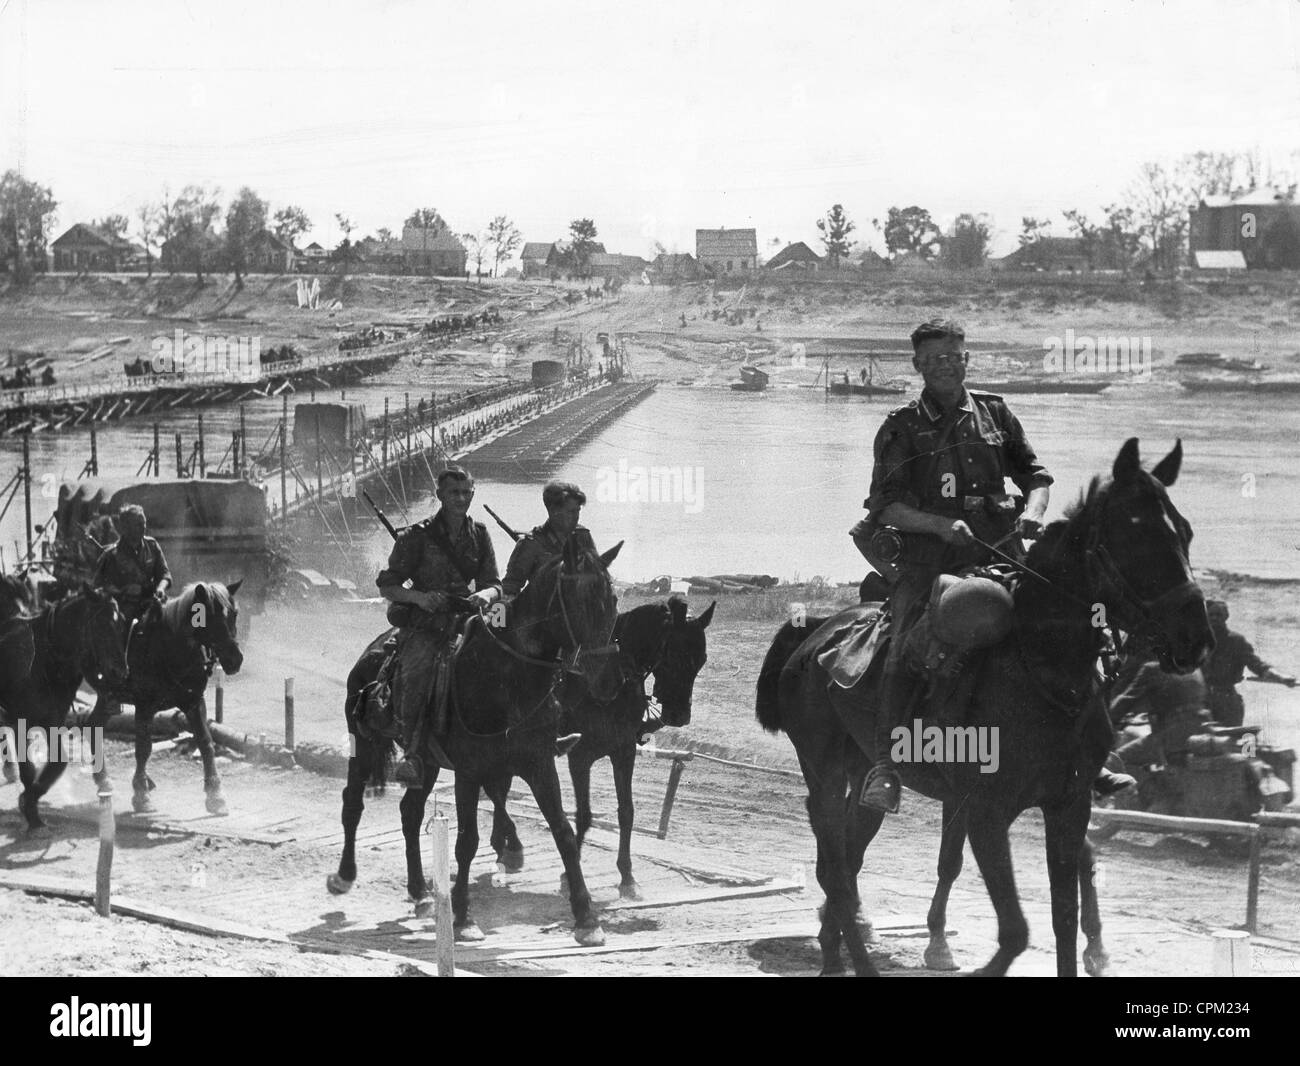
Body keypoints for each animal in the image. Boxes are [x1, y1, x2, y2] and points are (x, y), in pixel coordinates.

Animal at [0, 582, 128, 832]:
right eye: (100, 625)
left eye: (121, 622)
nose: (120, 671)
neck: (43, 660)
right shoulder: (21, 723)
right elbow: (28, 770)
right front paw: (31, 813)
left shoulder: (51, 721)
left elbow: (58, 762)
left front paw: (30, 807)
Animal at [86, 582, 244, 816]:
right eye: (208, 616)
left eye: (234, 614)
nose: (235, 660)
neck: (170, 649)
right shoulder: (144, 706)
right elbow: (143, 749)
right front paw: (141, 795)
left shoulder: (194, 703)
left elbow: (206, 743)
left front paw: (215, 795)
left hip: (107, 699)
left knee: (93, 725)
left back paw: (103, 780)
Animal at [330, 538, 624, 946]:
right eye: (583, 600)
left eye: (612, 599)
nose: (611, 681)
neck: (505, 675)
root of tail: (372, 651)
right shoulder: (469, 772)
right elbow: (467, 840)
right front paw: (463, 916)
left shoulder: (538, 764)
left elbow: (563, 833)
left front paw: (586, 918)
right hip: (363, 745)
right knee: (352, 804)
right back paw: (344, 876)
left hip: (427, 762)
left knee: (410, 812)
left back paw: (420, 892)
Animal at [488, 595, 717, 904]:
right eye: (675, 655)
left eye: (701, 660)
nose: (680, 716)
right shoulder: (580, 757)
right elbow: (583, 814)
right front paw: (568, 876)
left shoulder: (623, 752)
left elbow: (626, 812)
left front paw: (627, 877)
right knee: (495, 788)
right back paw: (510, 844)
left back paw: (501, 843)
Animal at [759, 439, 1211, 972]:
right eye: (1135, 537)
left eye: (1185, 532)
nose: (1197, 637)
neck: (1044, 673)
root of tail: (815, 635)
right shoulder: (985, 815)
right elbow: (1015, 931)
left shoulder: (1069, 807)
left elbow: (1063, 918)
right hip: (823, 771)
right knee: (834, 867)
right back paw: (854, 961)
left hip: (862, 773)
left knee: (847, 860)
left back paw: (833, 953)